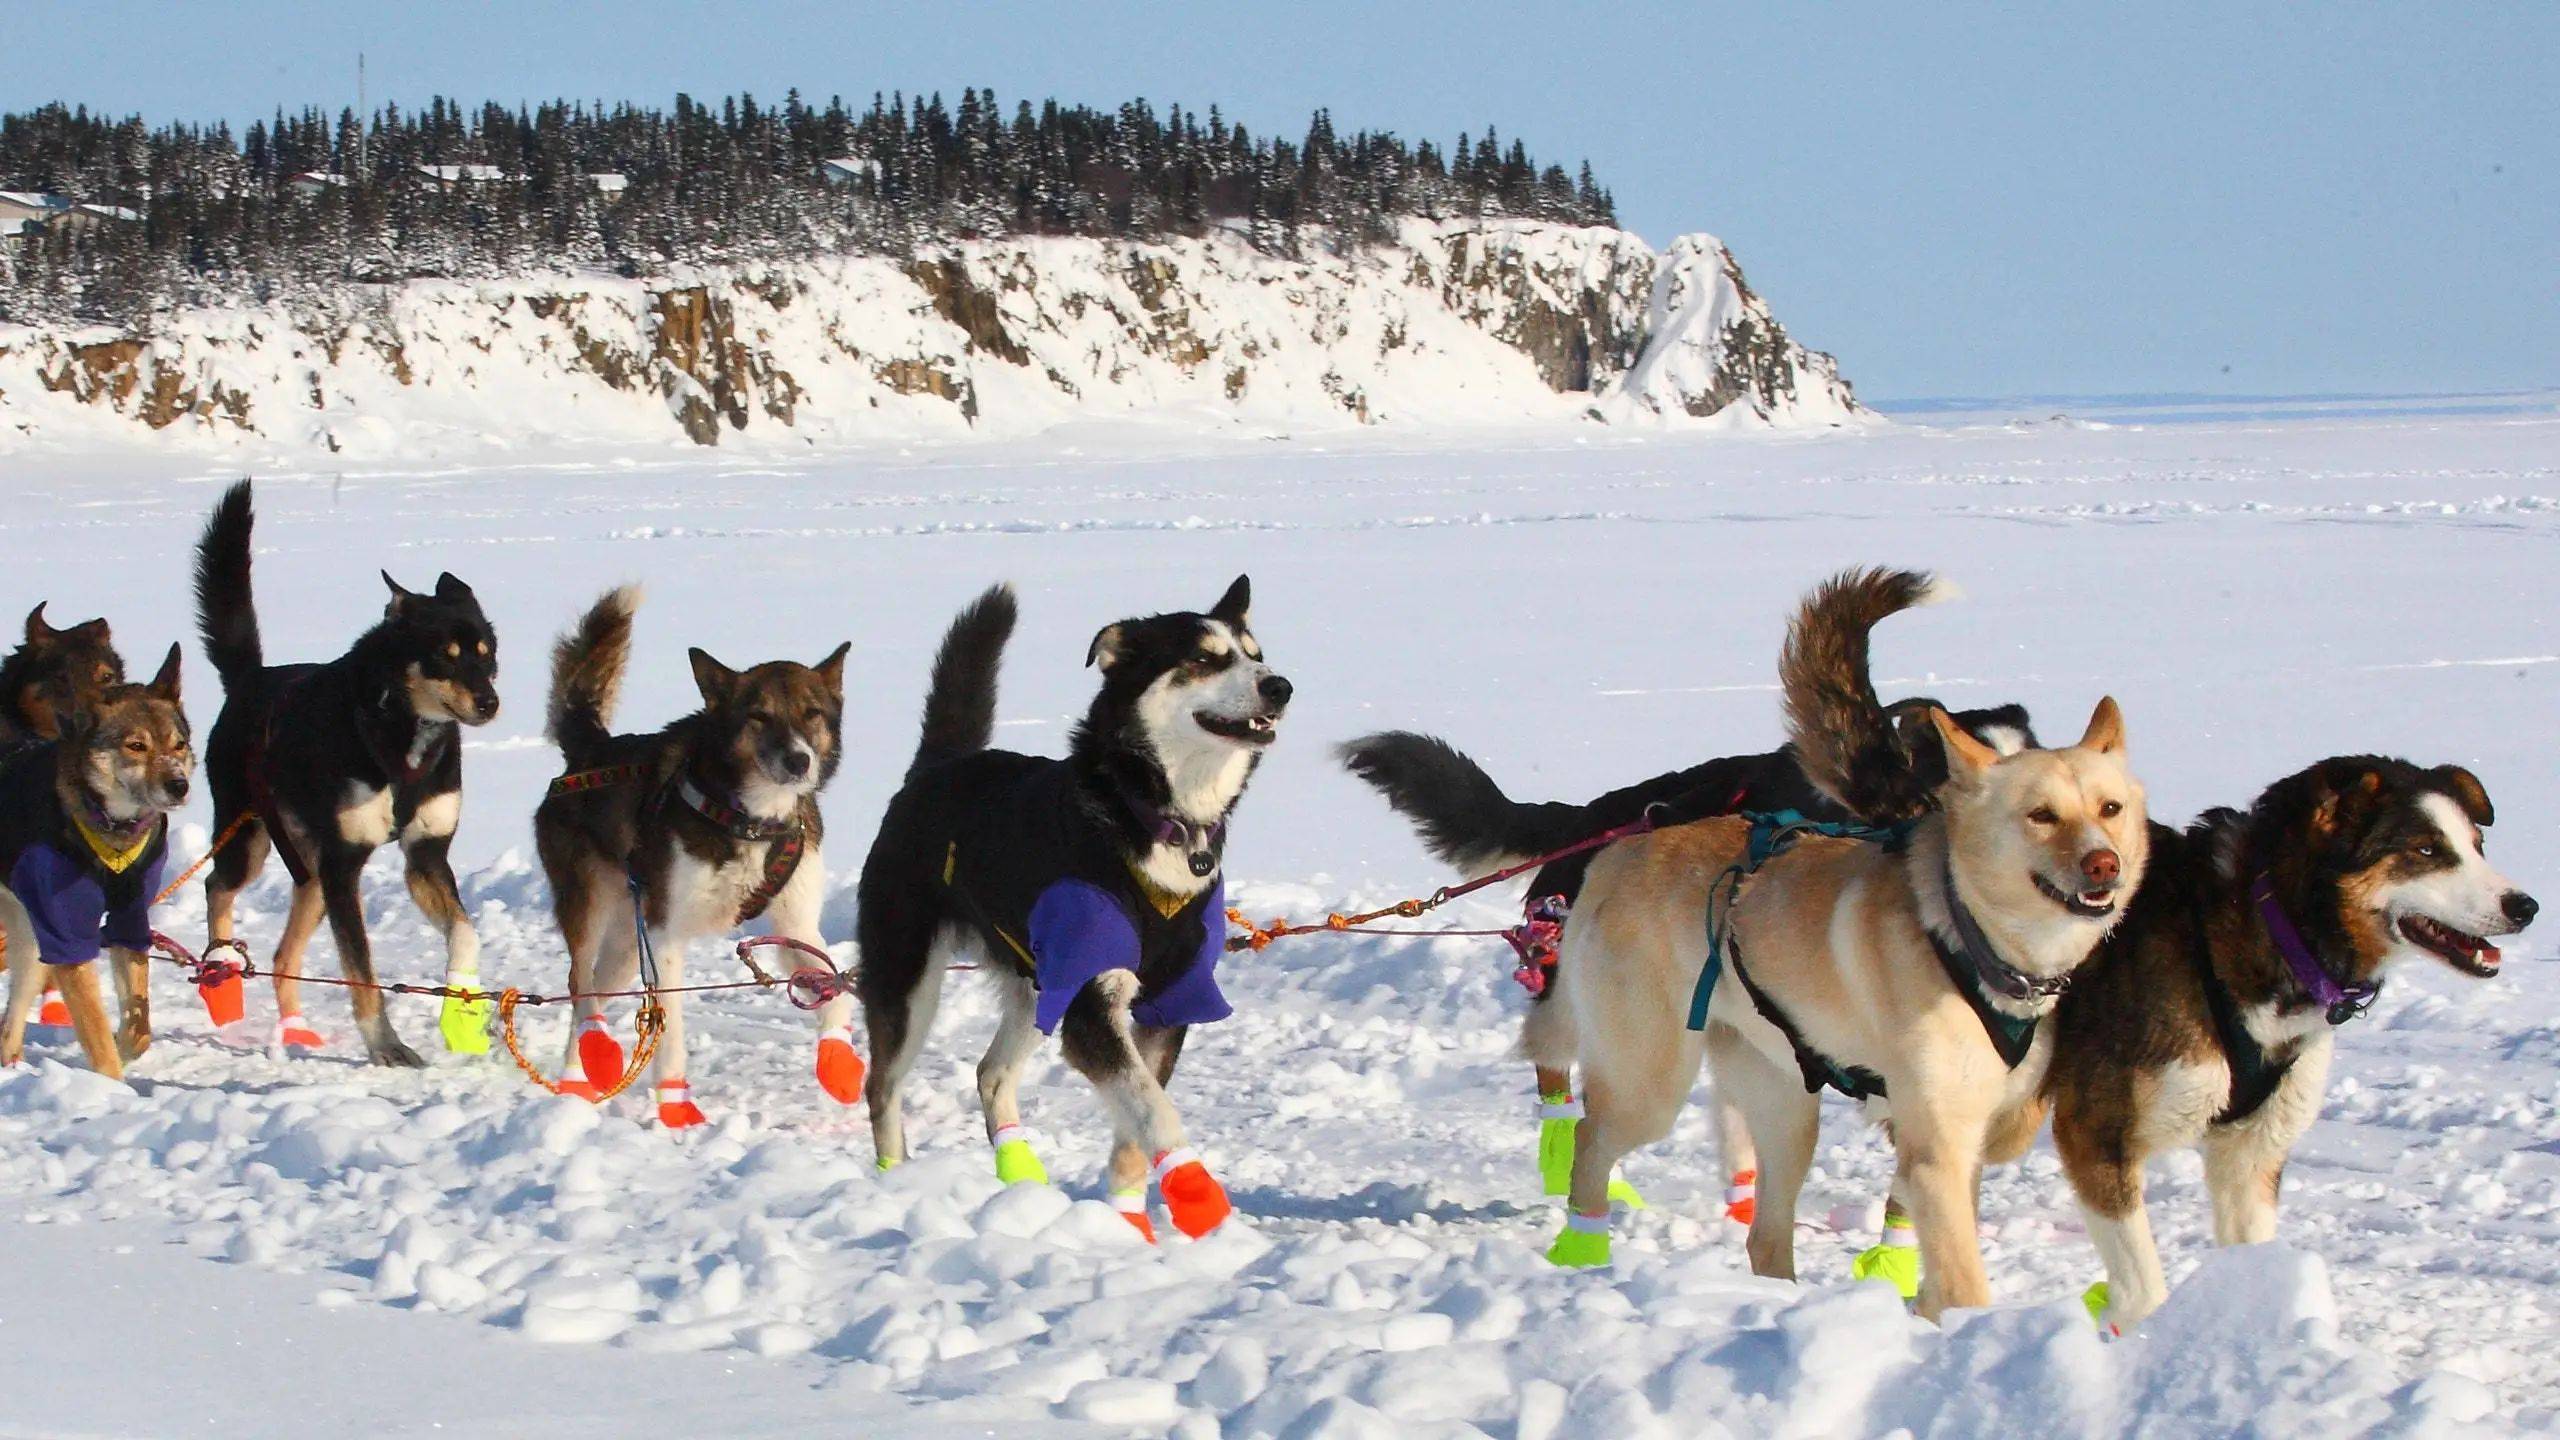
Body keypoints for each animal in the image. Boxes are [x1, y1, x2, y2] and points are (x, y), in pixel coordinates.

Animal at [194, 476, 499, 1060]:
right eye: (445, 656)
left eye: (487, 651)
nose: (490, 703)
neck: (399, 740)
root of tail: (251, 678)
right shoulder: (345, 865)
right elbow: (362, 970)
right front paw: (385, 1044)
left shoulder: (425, 857)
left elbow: (466, 932)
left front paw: (461, 1007)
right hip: (252, 841)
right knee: (218, 886)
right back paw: (220, 967)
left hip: (313, 872)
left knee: (284, 959)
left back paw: (294, 1029)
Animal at [860, 576, 1290, 1240]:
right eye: (1202, 659)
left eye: (1254, 653)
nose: (1280, 685)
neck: (1156, 821)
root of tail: (938, 767)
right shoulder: (1093, 1003)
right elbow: (1155, 1110)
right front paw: (1201, 1202)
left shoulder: (1169, 1001)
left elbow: (1136, 1127)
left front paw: (1129, 1225)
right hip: (908, 979)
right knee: (882, 1086)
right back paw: (894, 1182)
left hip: (1038, 982)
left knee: (991, 1073)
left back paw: (1021, 1176)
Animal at [1546, 568, 2150, 1311]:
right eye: (2040, 815)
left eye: (2109, 808)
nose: (2104, 864)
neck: (1970, 937)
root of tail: (1617, 852)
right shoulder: (1937, 1145)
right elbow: (1962, 1274)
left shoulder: (1973, 1131)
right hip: (1650, 1083)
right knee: (1591, 1138)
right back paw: (1581, 1249)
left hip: (1785, 1105)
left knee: (1766, 1234)